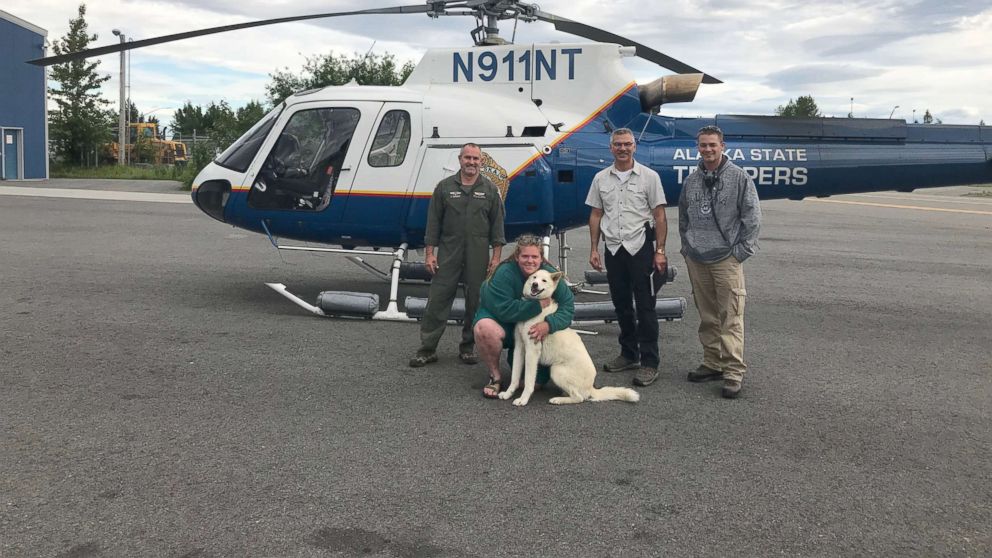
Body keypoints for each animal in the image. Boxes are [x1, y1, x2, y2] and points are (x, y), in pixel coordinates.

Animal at [496, 270, 644, 406]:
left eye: (544, 280)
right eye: (534, 277)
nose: (535, 284)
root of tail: (591, 387)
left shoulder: (532, 352)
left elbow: (528, 381)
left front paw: (523, 399)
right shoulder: (520, 348)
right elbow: (514, 377)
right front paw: (508, 393)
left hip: (556, 370)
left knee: (579, 398)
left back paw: (558, 400)